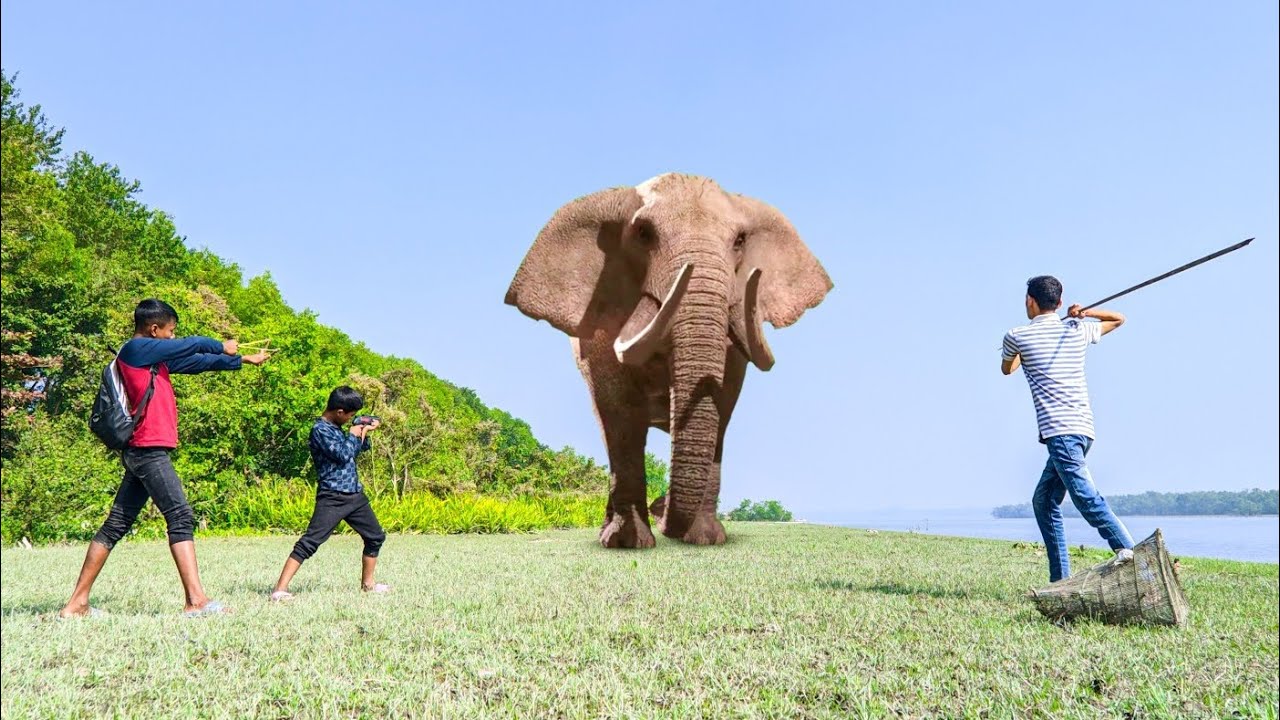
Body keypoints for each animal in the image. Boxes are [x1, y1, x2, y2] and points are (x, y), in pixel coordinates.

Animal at [504, 173, 832, 548]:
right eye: (643, 234)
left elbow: (722, 405)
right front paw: (628, 543)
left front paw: (705, 539)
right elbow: (620, 414)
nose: (664, 515)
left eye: (740, 240)